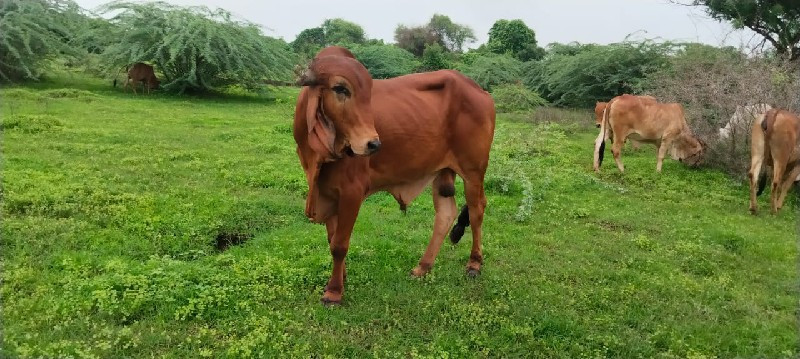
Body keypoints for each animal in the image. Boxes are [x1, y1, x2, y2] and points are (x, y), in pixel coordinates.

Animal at [294, 46, 494, 306]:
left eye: (369, 93)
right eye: (340, 88)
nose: (373, 144)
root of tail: (481, 91)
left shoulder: (351, 191)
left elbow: (339, 244)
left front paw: (334, 292)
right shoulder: (326, 191)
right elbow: (331, 239)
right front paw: (340, 279)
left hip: (473, 171)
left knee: (477, 209)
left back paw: (474, 264)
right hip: (441, 172)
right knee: (446, 214)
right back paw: (423, 267)